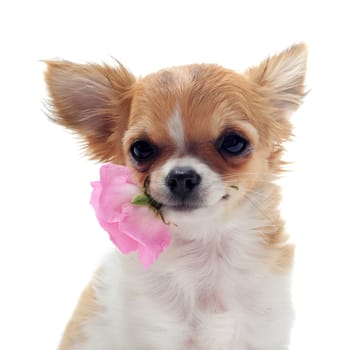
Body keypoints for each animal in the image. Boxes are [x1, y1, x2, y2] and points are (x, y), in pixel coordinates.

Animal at [45, 44, 306, 350]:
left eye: (233, 142)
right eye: (141, 149)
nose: (181, 176)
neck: (205, 249)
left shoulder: (261, 326)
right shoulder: (153, 330)